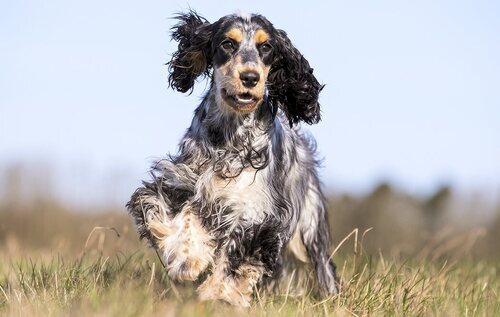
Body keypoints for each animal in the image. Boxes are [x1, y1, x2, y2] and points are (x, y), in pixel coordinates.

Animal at [129, 11, 340, 304]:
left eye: (266, 47)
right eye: (228, 44)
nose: (250, 77)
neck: (230, 136)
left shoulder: (256, 213)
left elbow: (236, 258)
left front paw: (219, 294)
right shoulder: (181, 183)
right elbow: (182, 216)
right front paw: (188, 259)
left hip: (309, 229)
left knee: (322, 266)